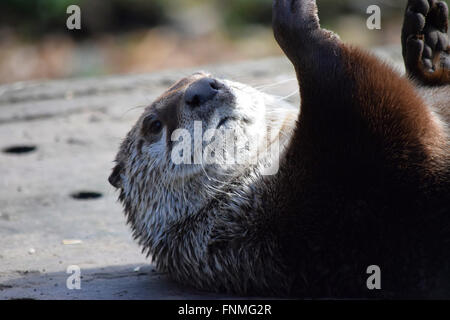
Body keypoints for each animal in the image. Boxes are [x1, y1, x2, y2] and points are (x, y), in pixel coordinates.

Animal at [110, 0, 450, 298]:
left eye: (201, 75)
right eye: (153, 124)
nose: (202, 88)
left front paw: (429, 46)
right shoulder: (342, 190)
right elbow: (356, 89)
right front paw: (295, 23)